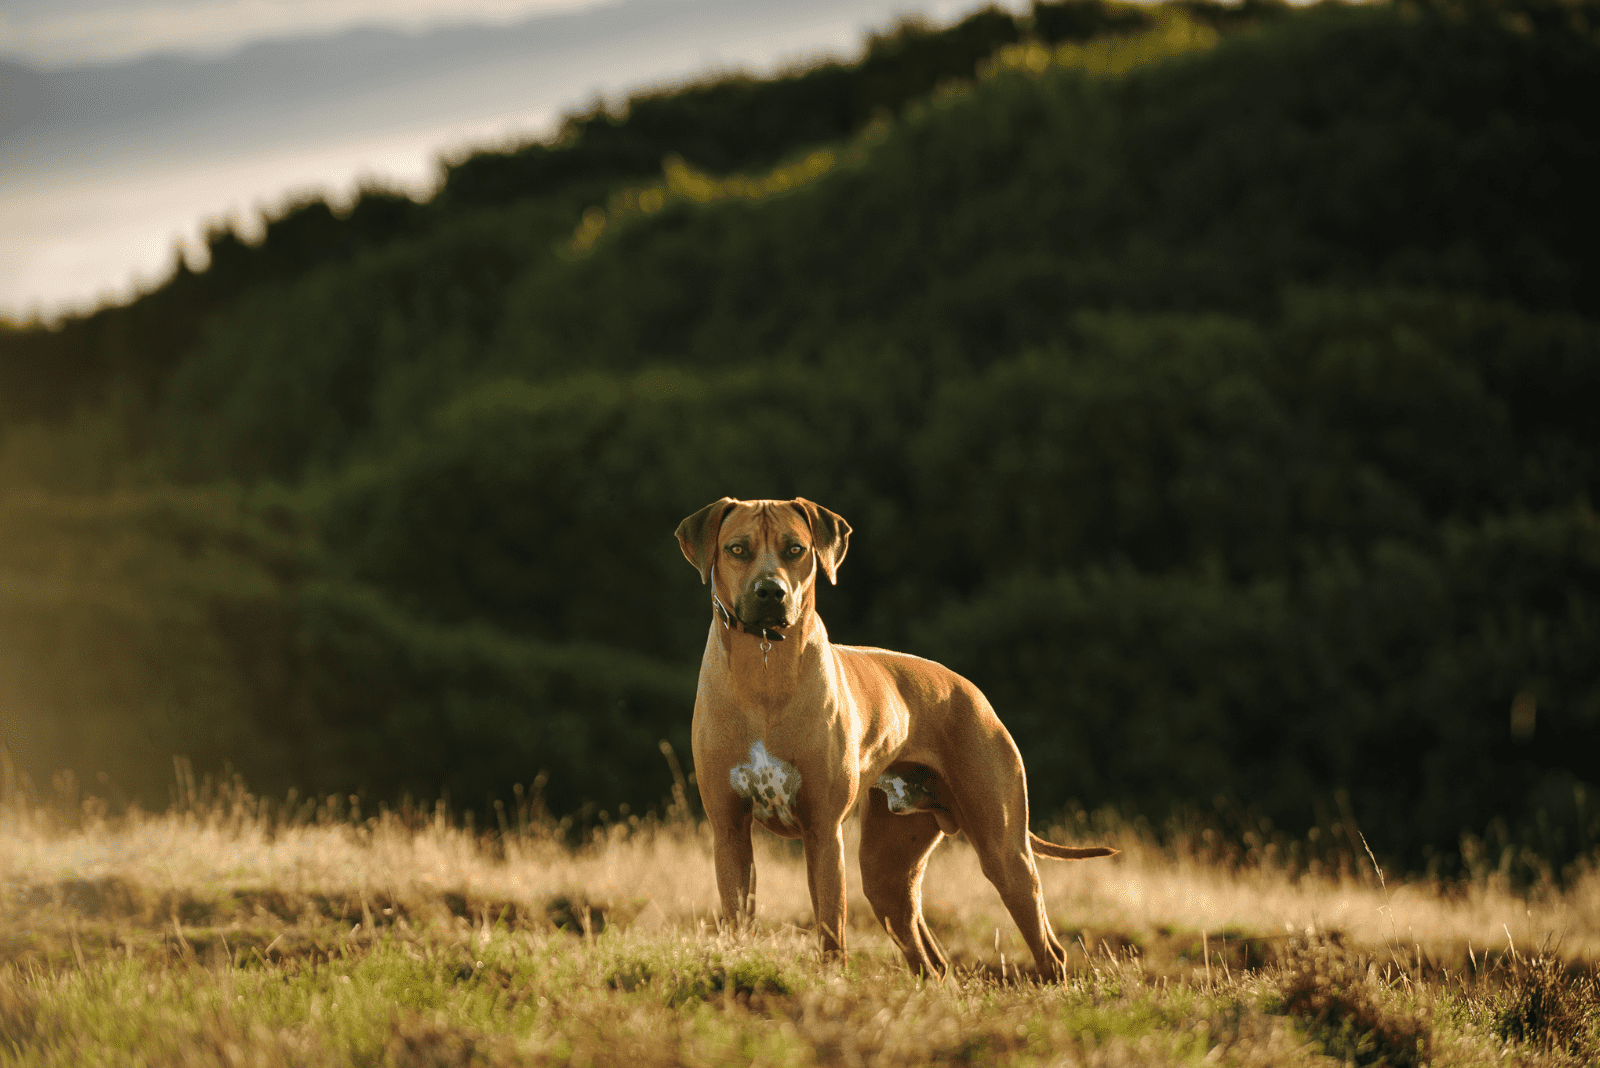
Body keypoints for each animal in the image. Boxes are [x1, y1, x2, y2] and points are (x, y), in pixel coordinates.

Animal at [675, 495, 1113, 978]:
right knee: (933, 960)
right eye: (737, 549)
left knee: (1048, 947)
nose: (771, 591)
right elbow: (739, 917)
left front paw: (833, 982)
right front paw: (737, 964)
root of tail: (973, 691)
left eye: (795, 549)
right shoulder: (730, 830)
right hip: (886, 869)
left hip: (1004, 849)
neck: (765, 664)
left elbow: (831, 929)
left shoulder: (823, 831)